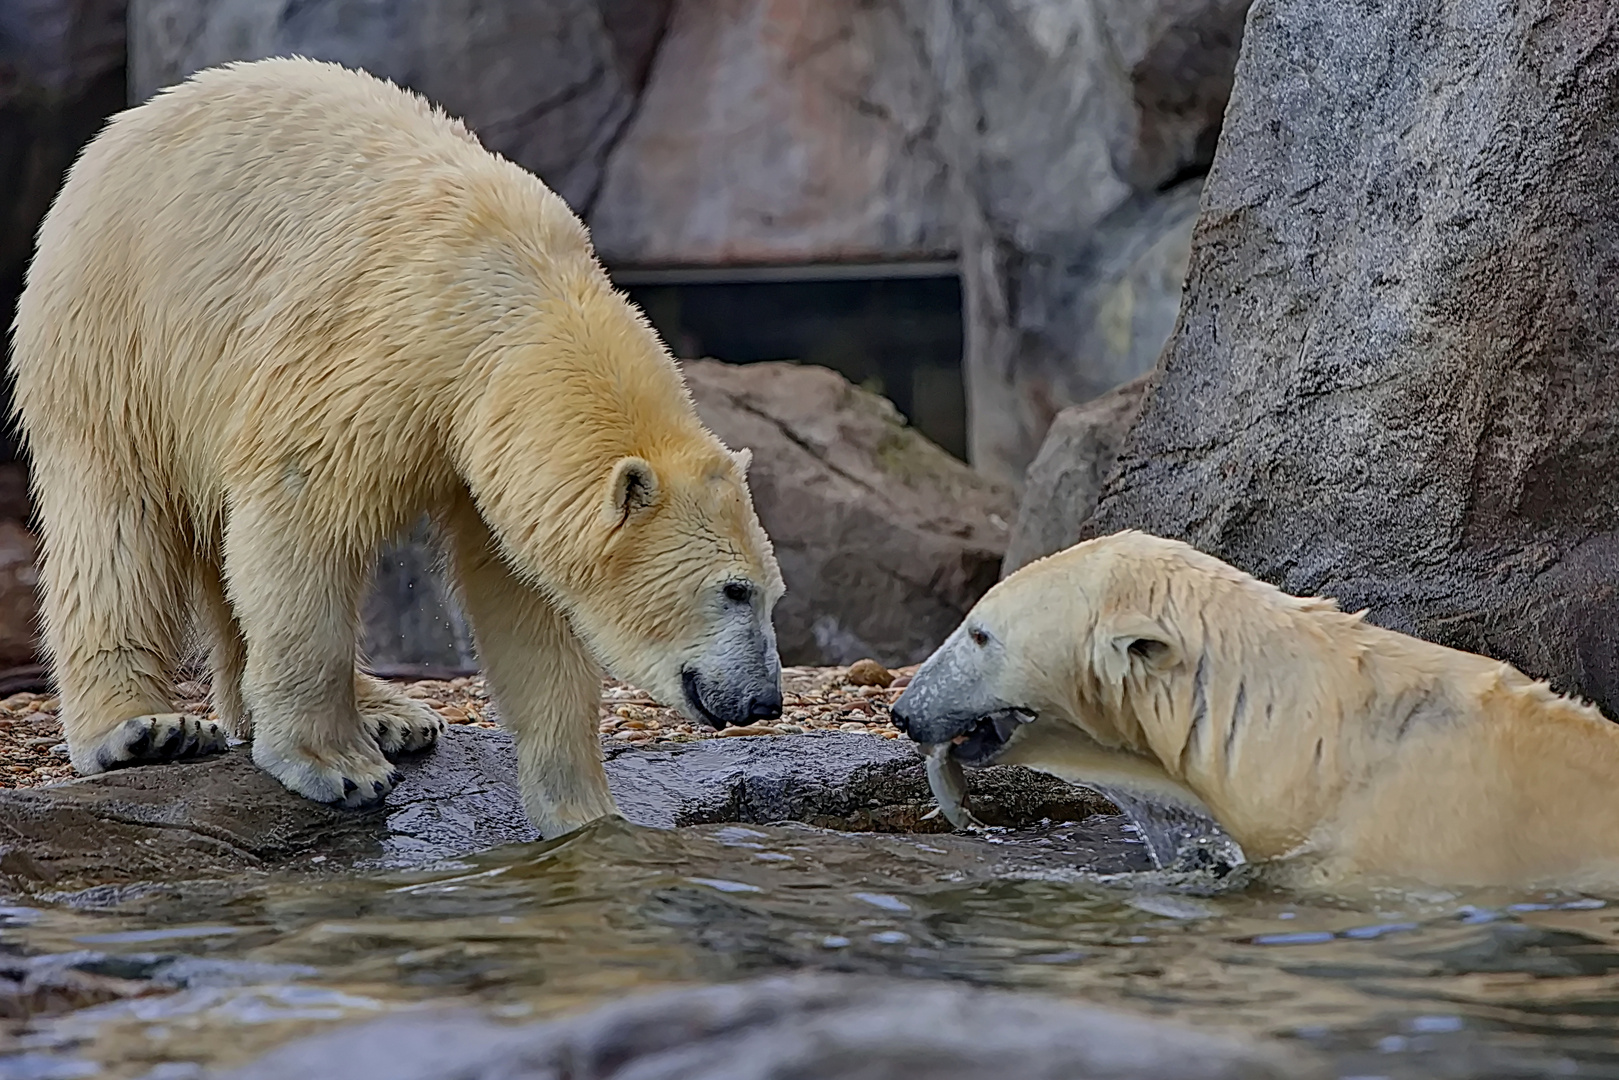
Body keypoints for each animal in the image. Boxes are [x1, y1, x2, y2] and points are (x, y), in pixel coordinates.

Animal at [9, 57, 786, 835]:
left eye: (771, 591)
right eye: (733, 590)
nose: (764, 701)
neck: (513, 303)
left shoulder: (488, 439)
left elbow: (520, 600)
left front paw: (586, 817)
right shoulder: (379, 351)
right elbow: (302, 510)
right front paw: (334, 766)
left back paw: (392, 714)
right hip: (120, 332)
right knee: (117, 522)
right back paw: (142, 729)